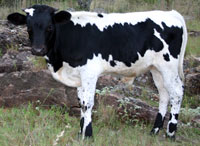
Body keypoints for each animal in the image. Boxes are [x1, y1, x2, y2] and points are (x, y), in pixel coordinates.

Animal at [7, 4, 188, 139]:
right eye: (28, 27)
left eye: (50, 27)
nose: (37, 50)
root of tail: (172, 13)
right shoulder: (78, 75)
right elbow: (80, 102)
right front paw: (80, 132)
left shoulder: (89, 72)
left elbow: (88, 103)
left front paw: (87, 135)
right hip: (156, 69)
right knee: (164, 95)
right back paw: (154, 131)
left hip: (169, 67)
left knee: (177, 93)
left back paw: (170, 134)